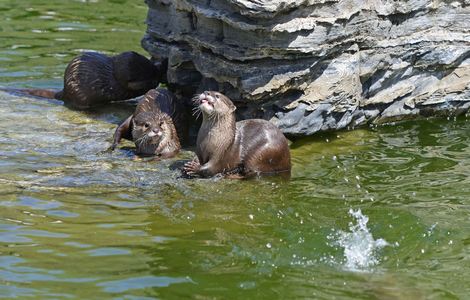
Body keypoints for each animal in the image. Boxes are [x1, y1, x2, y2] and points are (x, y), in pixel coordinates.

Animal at [3, 51, 164, 110]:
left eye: (150, 65)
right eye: (147, 74)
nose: (157, 72)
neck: (113, 73)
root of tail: (64, 89)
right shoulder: (120, 86)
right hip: (79, 93)